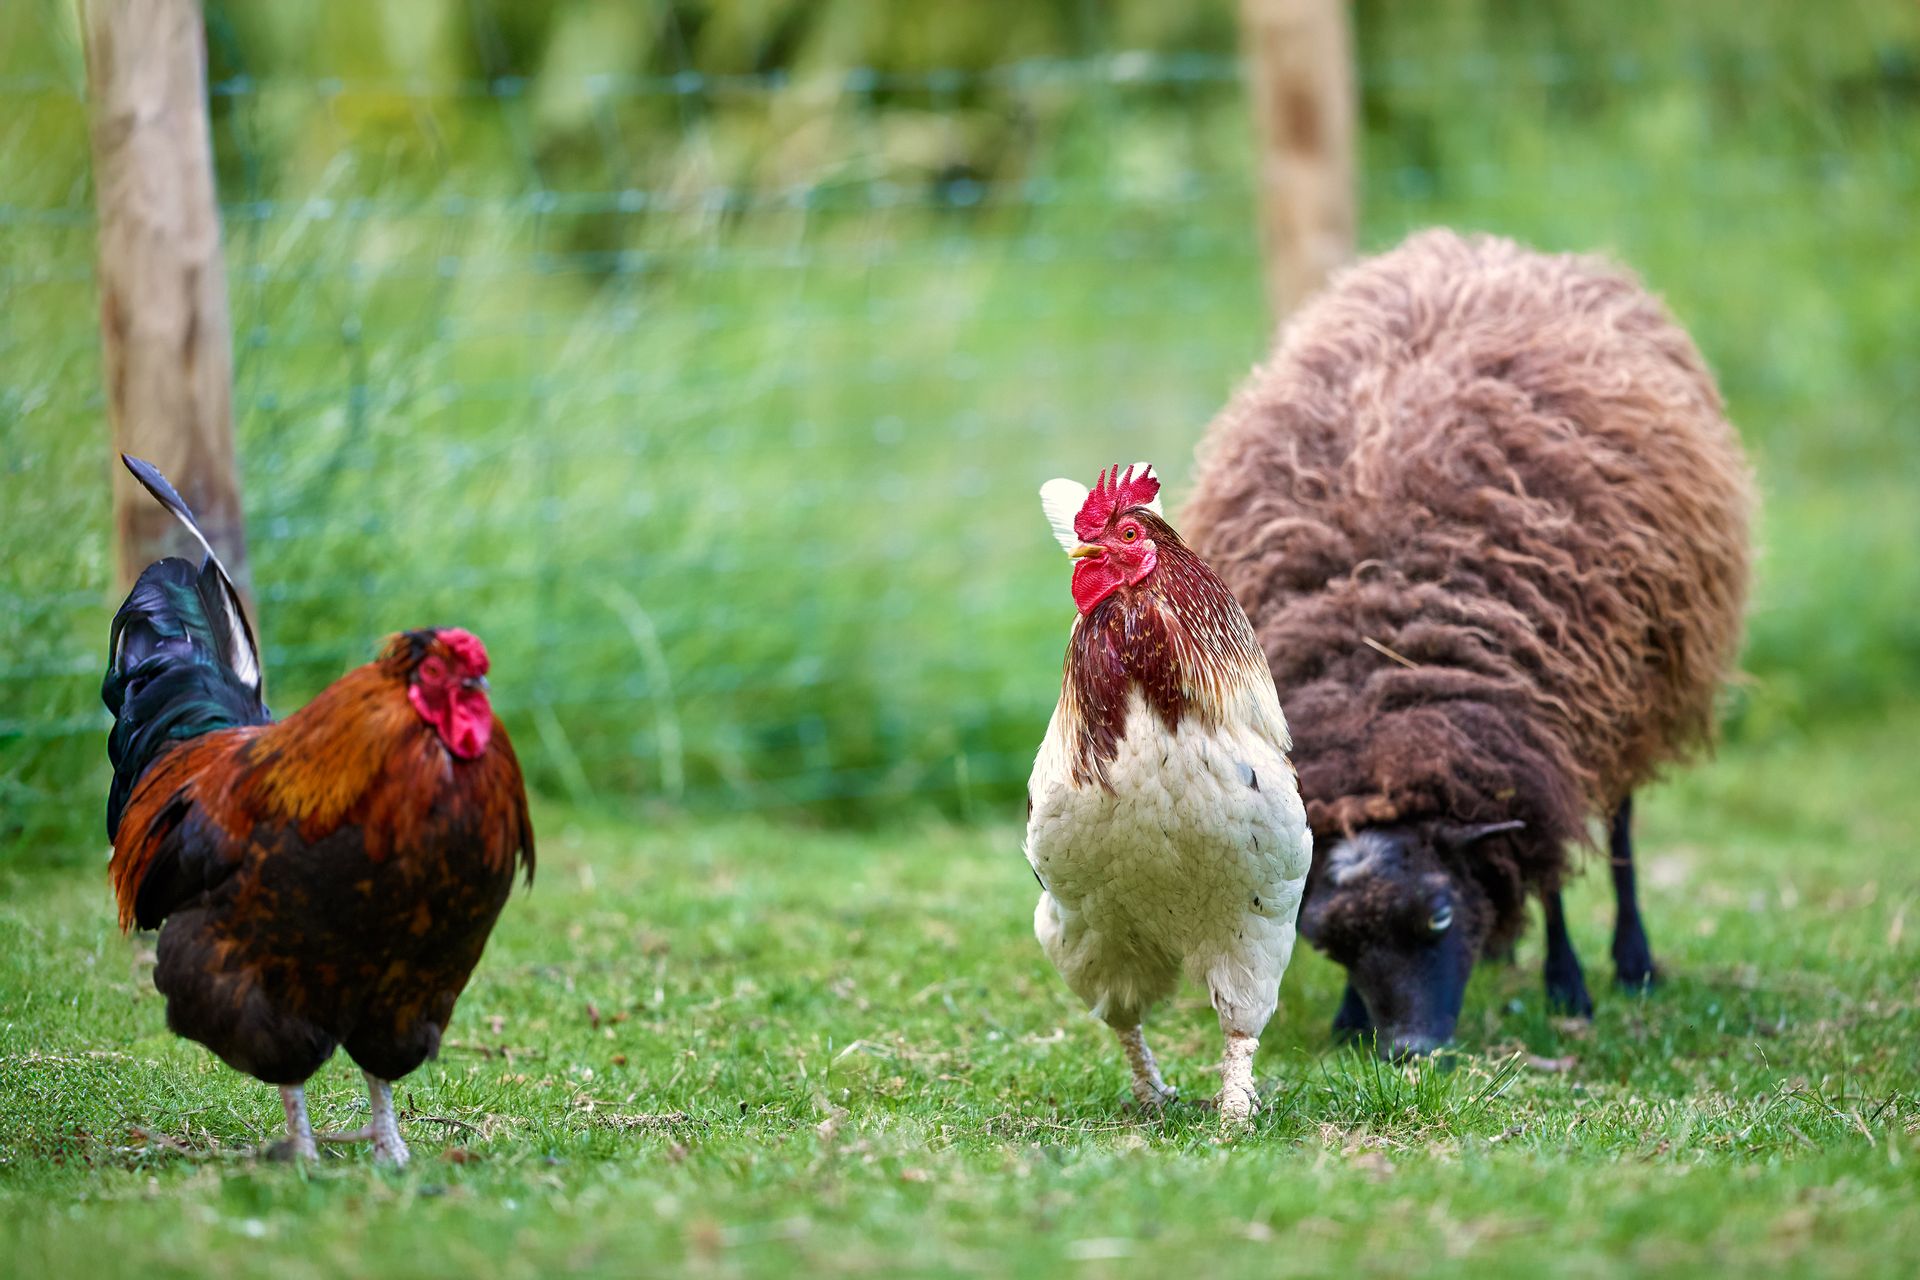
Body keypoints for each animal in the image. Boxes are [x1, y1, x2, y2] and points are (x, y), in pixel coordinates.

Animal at [1181, 229, 1754, 1057]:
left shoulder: (1549, 732)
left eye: (1439, 917)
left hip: (1636, 689)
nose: (1408, 1052)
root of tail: (1497, 249)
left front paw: (1568, 986)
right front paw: (1351, 1019)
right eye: (1330, 944)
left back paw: (1632, 962)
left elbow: (1553, 870)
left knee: (1618, 826)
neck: (1380, 689)